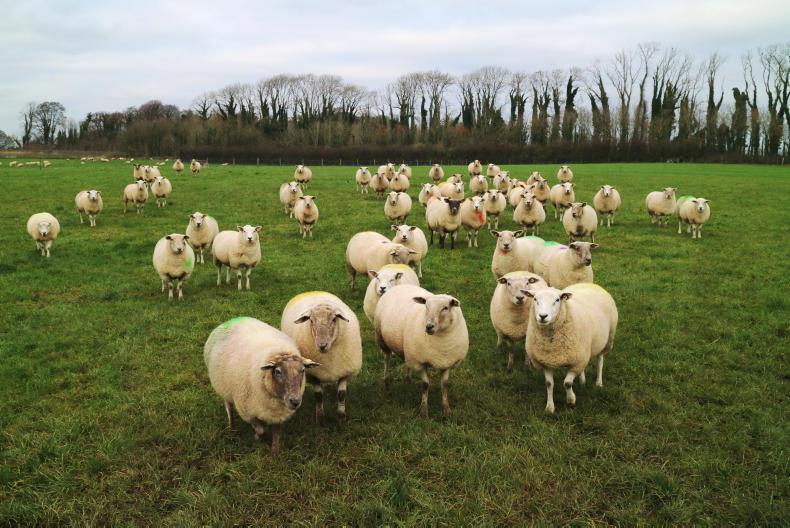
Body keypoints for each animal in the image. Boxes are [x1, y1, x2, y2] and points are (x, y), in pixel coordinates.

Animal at [204, 316, 319, 455]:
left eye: (302, 370)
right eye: (278, 371)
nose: (295, 401)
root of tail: (231, 320)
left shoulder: (278, 414)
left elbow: (277, 433)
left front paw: (275, 452)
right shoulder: (247, 412)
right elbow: (260, 430)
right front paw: (257, 438)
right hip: (224, 388)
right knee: (229, 408)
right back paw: (232, 429)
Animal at [281, 291, 362, 422]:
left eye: (334, 319)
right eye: (311, 321)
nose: (322, 345)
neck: (329, 357)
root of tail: (311, 291)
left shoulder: (345, 371)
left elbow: (341, 394)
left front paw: (341, 416)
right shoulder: (314, 374)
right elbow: (318, 396)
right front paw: (320, 417)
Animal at [374, 284, 468, 418]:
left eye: (445, 307)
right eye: (426, 306)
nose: (429, 326)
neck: (442, 343)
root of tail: (400, 285)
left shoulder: (447, 362)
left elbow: (444, 385)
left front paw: (446, 409)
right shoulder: (419, 362)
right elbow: (425, 385)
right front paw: (423, 411)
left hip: (408, 349)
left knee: (406, 362)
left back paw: (407, 380)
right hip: (381, 338)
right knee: (387, 358)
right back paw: (386, 381)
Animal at [524, 283, 618, 413]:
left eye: (557, 300)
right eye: (535, 299)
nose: (543, 316)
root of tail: (589, 284)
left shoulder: (575, 362)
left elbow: (567, 383)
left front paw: (571, 400)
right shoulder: (546, 362)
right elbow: (549, 384)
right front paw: (550, 407)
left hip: (607, 340)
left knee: (600, 361)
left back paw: (599, 383)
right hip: (583, 351)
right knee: (584, 366)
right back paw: (582, 381)